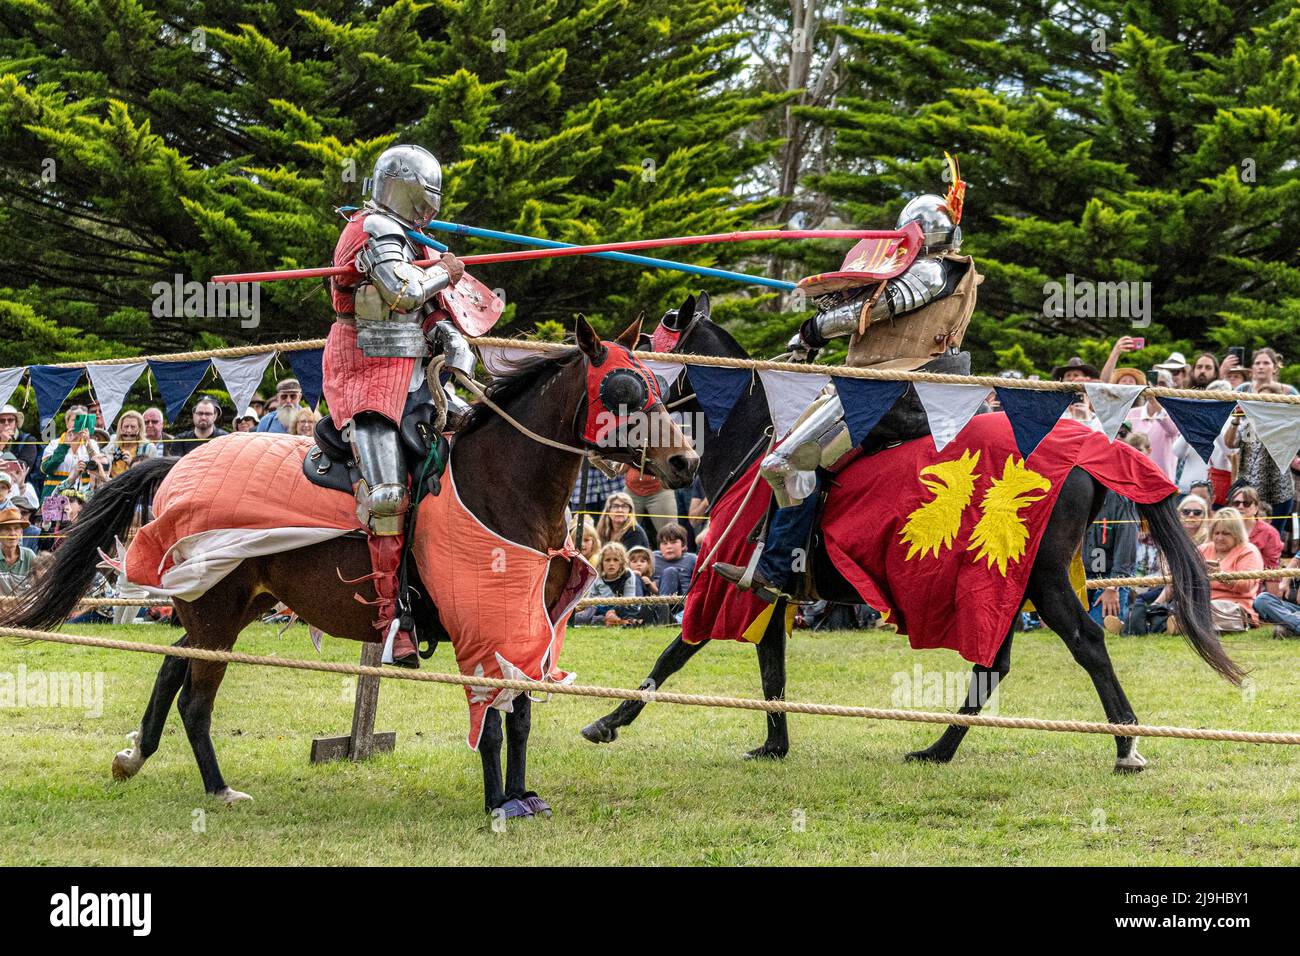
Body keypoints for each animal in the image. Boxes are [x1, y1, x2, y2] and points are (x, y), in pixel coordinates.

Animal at [7, 317, 702, 816]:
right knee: (196, 700)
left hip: (229, 609)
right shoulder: (482, 622)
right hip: (217, 613)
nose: (685, 463)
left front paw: (522, 796)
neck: (500, 484)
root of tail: (177, 463)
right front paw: (497, 803)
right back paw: (218, 789)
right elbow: (493, 722)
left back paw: (136, 755)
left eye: (656, 388)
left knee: (175, 661)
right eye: (622, 391)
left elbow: (522, 715)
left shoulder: (524, 624)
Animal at [585, 299, 1242, 770]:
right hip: (1007, 581)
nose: (670, 459)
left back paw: (1127, 744)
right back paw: (938, 749)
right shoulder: (774, 595)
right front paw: (774, 746)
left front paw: (607, 722)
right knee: (993, 665)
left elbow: (676, 651)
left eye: (641, 359)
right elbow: (772, 671)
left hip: (1044, 577)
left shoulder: (727, 582)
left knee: (1087, 642)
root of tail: (1091, 448)